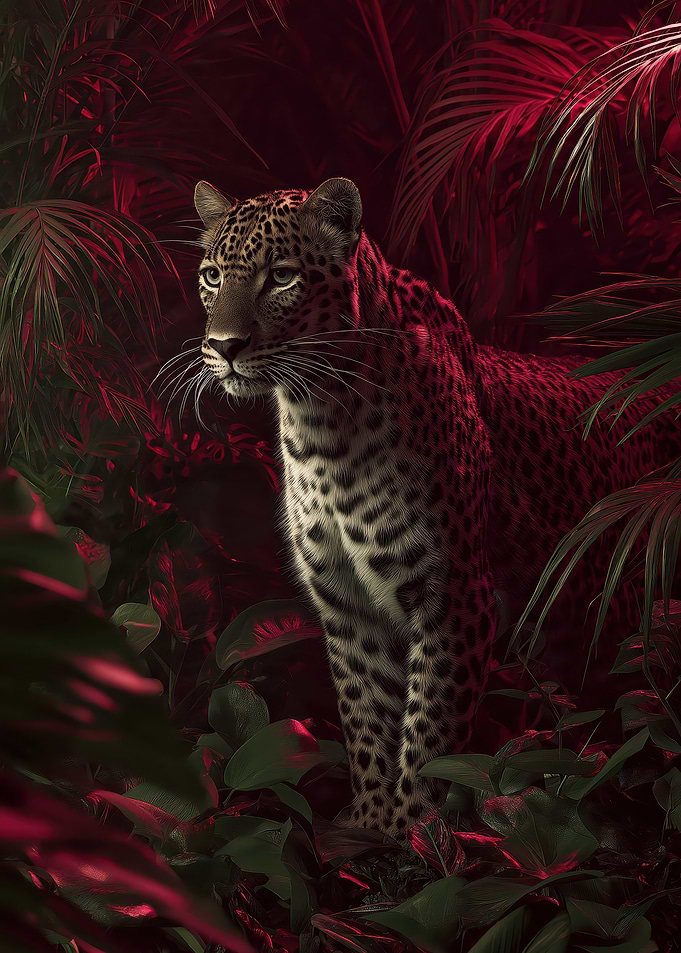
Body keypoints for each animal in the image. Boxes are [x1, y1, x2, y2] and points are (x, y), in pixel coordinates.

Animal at [192, 176, 681, 837]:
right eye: (213, 276)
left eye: (282, 277)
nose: (224, 346)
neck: (319, 422)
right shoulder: (346, 603)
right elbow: (365, 711)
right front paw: (372, 819)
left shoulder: (451, 594)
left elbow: (432, 727)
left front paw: (417, 828)